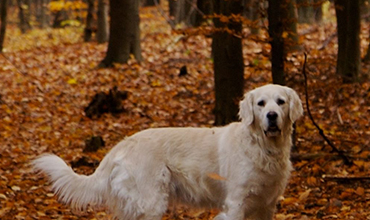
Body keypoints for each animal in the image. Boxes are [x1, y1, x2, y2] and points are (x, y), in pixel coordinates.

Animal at [33, 84, 302, 220]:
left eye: (280, 101)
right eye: (260, 103)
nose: (271, 116)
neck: (263, 148)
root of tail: (122, 145)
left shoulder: (266, 206)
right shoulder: (235, 203)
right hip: (151, 202)